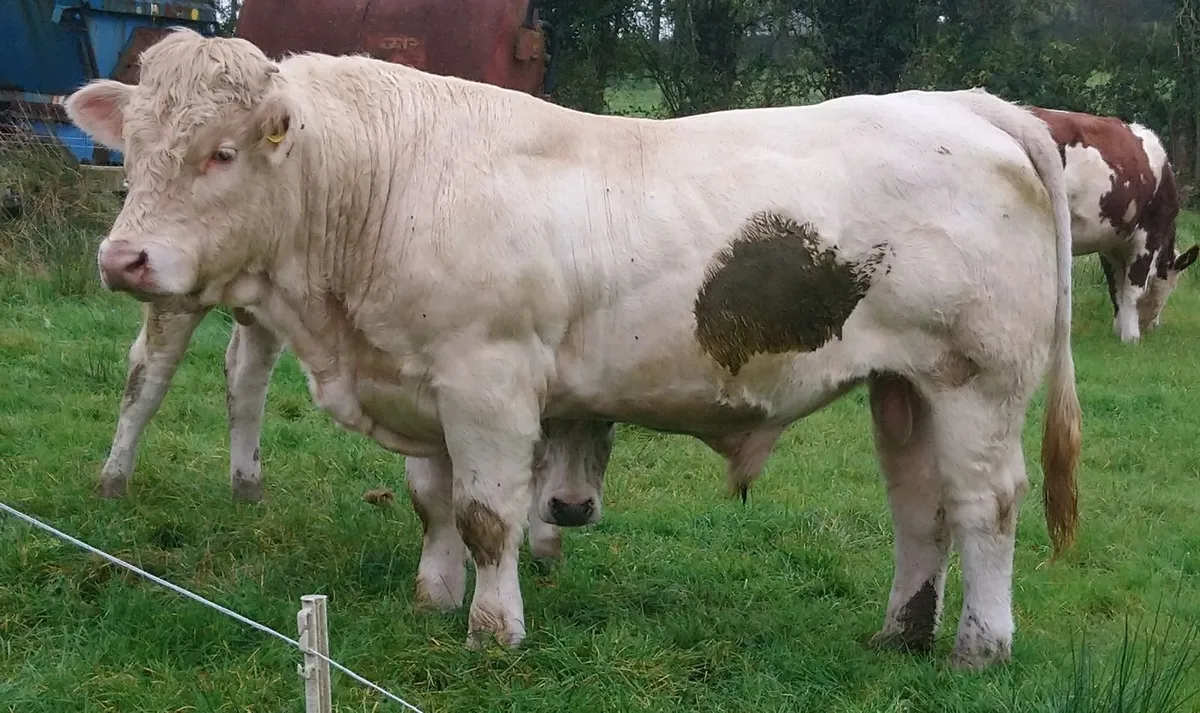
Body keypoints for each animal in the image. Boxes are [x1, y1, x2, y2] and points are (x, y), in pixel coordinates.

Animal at [98, 298, 615, 562]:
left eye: (609, 423)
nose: (571, 509)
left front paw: (544, 543)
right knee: (148, 372)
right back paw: (113, 480)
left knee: (245, 377)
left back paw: (248, 485)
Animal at [1028, 107, 1198, 344]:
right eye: (1170, 285)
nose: (1152, 325)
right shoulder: (1149, 235)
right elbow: (1134, 288)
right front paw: (1132, 338)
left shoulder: (1110, 244)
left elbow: (1116, 287)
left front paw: (1120, 330)